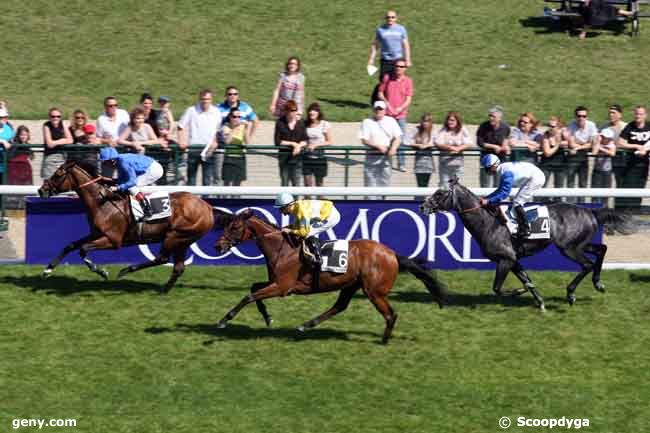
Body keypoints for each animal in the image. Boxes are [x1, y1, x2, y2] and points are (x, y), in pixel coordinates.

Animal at [37, 159, 215, 294]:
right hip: (183, 241)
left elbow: (83, 249)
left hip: (175, 236)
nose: (41, 190)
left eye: (58, 174)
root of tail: (207, 207)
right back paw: (164, 289)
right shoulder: (96, 233)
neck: (103, 202)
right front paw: (47, 270)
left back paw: (126, 270)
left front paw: (101, 271)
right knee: (178, 267)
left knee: (162, 259)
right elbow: (70, 245)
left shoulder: (113, 240)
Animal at [214, 209, 446, 344]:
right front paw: (267, 317)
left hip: (374, 291)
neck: (283, 248)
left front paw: (225, 320)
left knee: (390, 314)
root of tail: (392, 254)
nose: (218, 246)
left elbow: (249, 296)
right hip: (351, 284)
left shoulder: (282, 287)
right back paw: (306, 325)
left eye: (235, 227)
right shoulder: (275, 282)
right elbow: (253, 289)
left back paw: (384, 340)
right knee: (340, 306)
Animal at [416, 177, 632, 308]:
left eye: (439, 193)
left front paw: (518, 292)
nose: (422, 206)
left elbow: (498, 288)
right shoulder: (513, 260)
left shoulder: (505, 259)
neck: (488, 222)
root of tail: (591, 212)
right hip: (580, 243)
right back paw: (598, 283)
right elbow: (526, 279)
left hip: (569, 248)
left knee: (587, 264)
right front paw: (540, 302)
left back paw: (571, 294)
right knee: (601, 249)